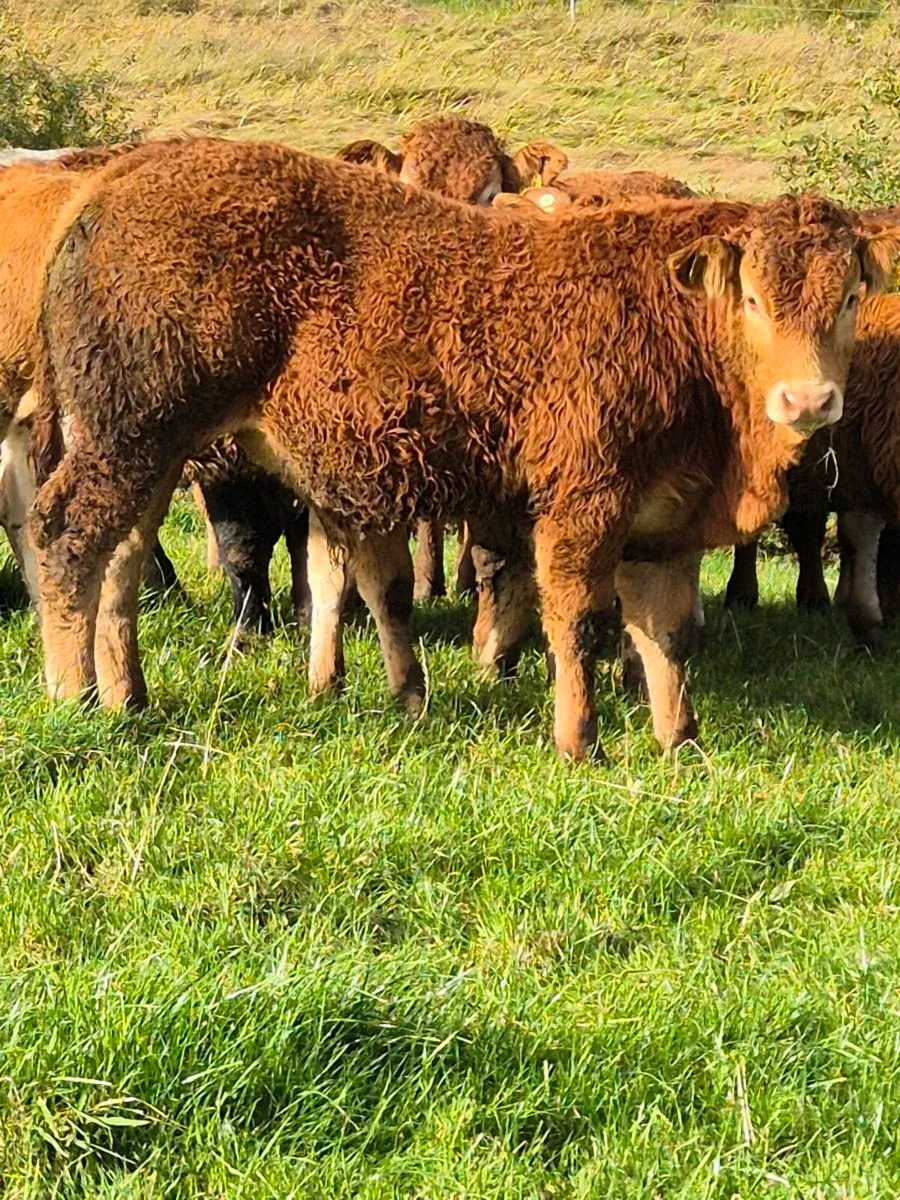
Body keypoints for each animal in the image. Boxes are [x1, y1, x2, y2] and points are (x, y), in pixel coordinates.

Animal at [31, 137, 898, 762]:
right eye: (752, 297)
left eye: (852, 294)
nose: (808, 401)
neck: (670, 316)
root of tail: (111, 186)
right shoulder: (582, 506)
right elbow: (580, 623)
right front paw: (582, 744)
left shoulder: (665, 519)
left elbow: (669, 633)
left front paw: (680, 742)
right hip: (130, 436)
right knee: (68, 539)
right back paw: (75, 694)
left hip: (153, 450)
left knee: (123, 558)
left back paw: (129, 693)